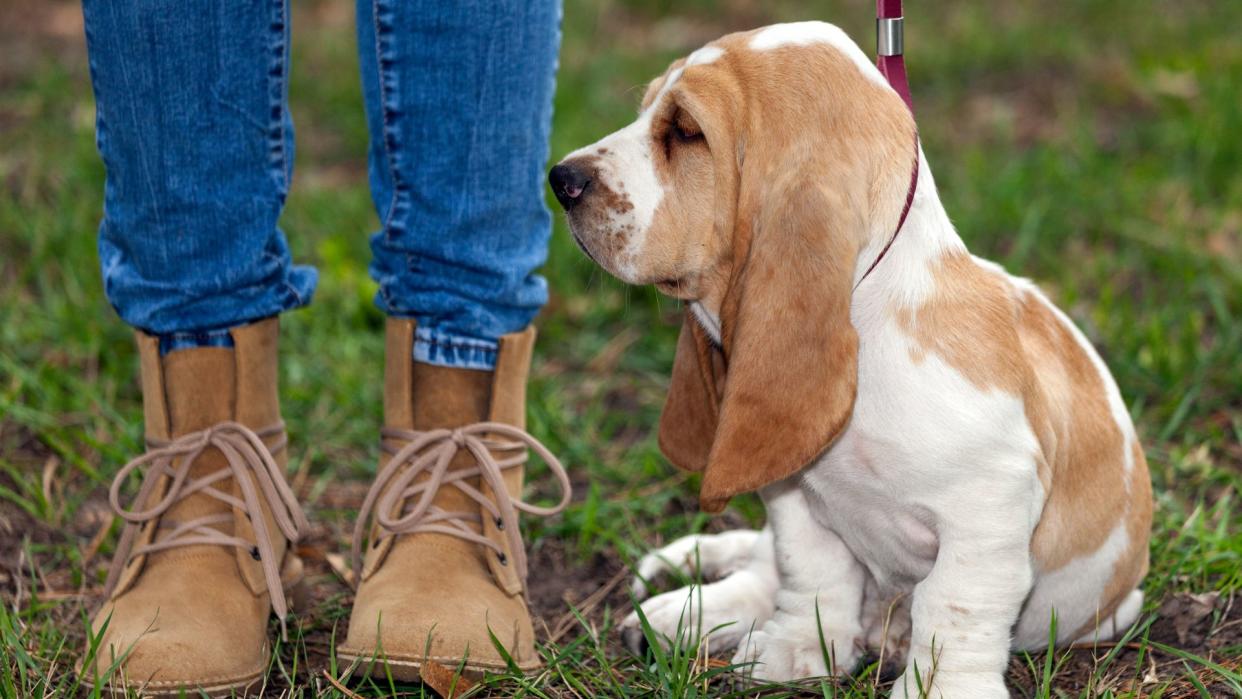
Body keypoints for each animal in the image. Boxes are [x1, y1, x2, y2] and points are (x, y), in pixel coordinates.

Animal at [548, 20, 1147, 695]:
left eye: (685, 130)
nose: (561, 179)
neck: (869, 319)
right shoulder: (792, 490)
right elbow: (812, 571)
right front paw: (798, 651)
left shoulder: (989, 507)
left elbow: (953, 603)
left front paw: (941, 685)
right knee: (761, 572)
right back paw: (684, 616)